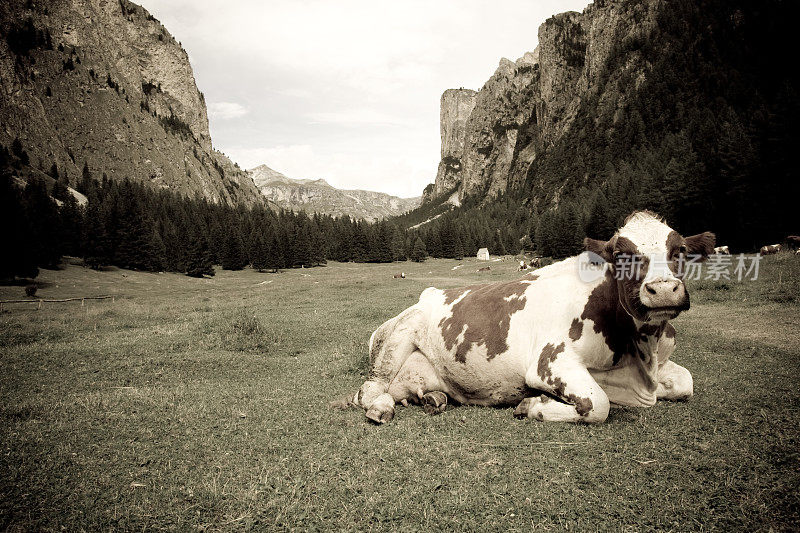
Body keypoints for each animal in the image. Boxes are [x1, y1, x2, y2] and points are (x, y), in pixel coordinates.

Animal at [334, 210, 716, 422]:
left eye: (680, 250)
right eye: (622, 254)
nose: (663, 290)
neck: (640, 355)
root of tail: (425, 296)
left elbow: (686, 382)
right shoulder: (550, 363)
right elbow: (598, 404)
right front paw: (532, 406)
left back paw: (432, 399)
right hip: (400, 337)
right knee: (370, 389)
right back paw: (381, 408)